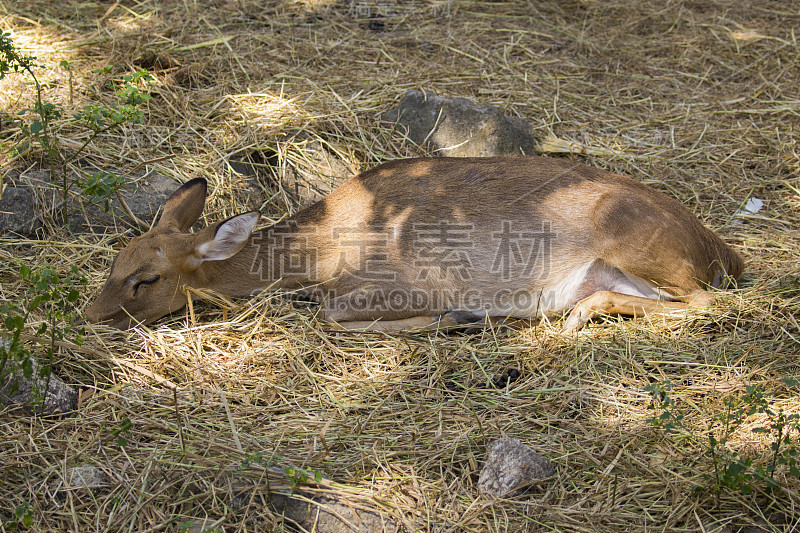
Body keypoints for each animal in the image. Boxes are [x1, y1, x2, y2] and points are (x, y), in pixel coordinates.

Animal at [84, 154, 740, 330]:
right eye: (113, 262)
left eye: (147, 279)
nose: (89, 314)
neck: (321, 251)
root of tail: (722, 252)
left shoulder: (401, 282)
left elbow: (332, 314)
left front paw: (455, 317)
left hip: (640, 244)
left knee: (708, 303)